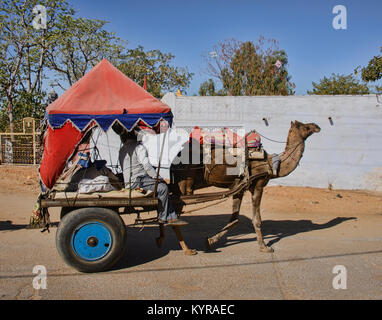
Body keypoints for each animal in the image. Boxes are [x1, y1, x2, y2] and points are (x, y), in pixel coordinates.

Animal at [170, 120, 320, 252]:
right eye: (305, 127)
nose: (316, 126)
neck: (271, 164)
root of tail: (176, 157)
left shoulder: (239, 188)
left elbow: (234, 219)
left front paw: (210, 241)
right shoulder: (259, 185)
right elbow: (257, 219)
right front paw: (264, 247)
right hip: (185, 184)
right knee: (174, 215)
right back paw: (187, 249)